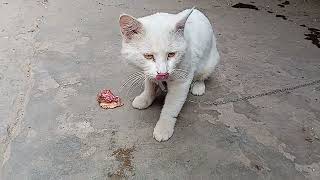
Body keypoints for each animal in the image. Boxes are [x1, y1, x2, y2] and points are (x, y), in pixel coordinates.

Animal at [119, 7, 219, 141]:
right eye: (148, 56)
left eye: (171, 54)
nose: (162, 73)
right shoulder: (148, 72)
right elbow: (149, 85)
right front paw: (145, 98)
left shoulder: (181, 82)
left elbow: (171, 107)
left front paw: (164, 127)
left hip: (209, 63)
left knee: (202, 76)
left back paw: (198, 86)